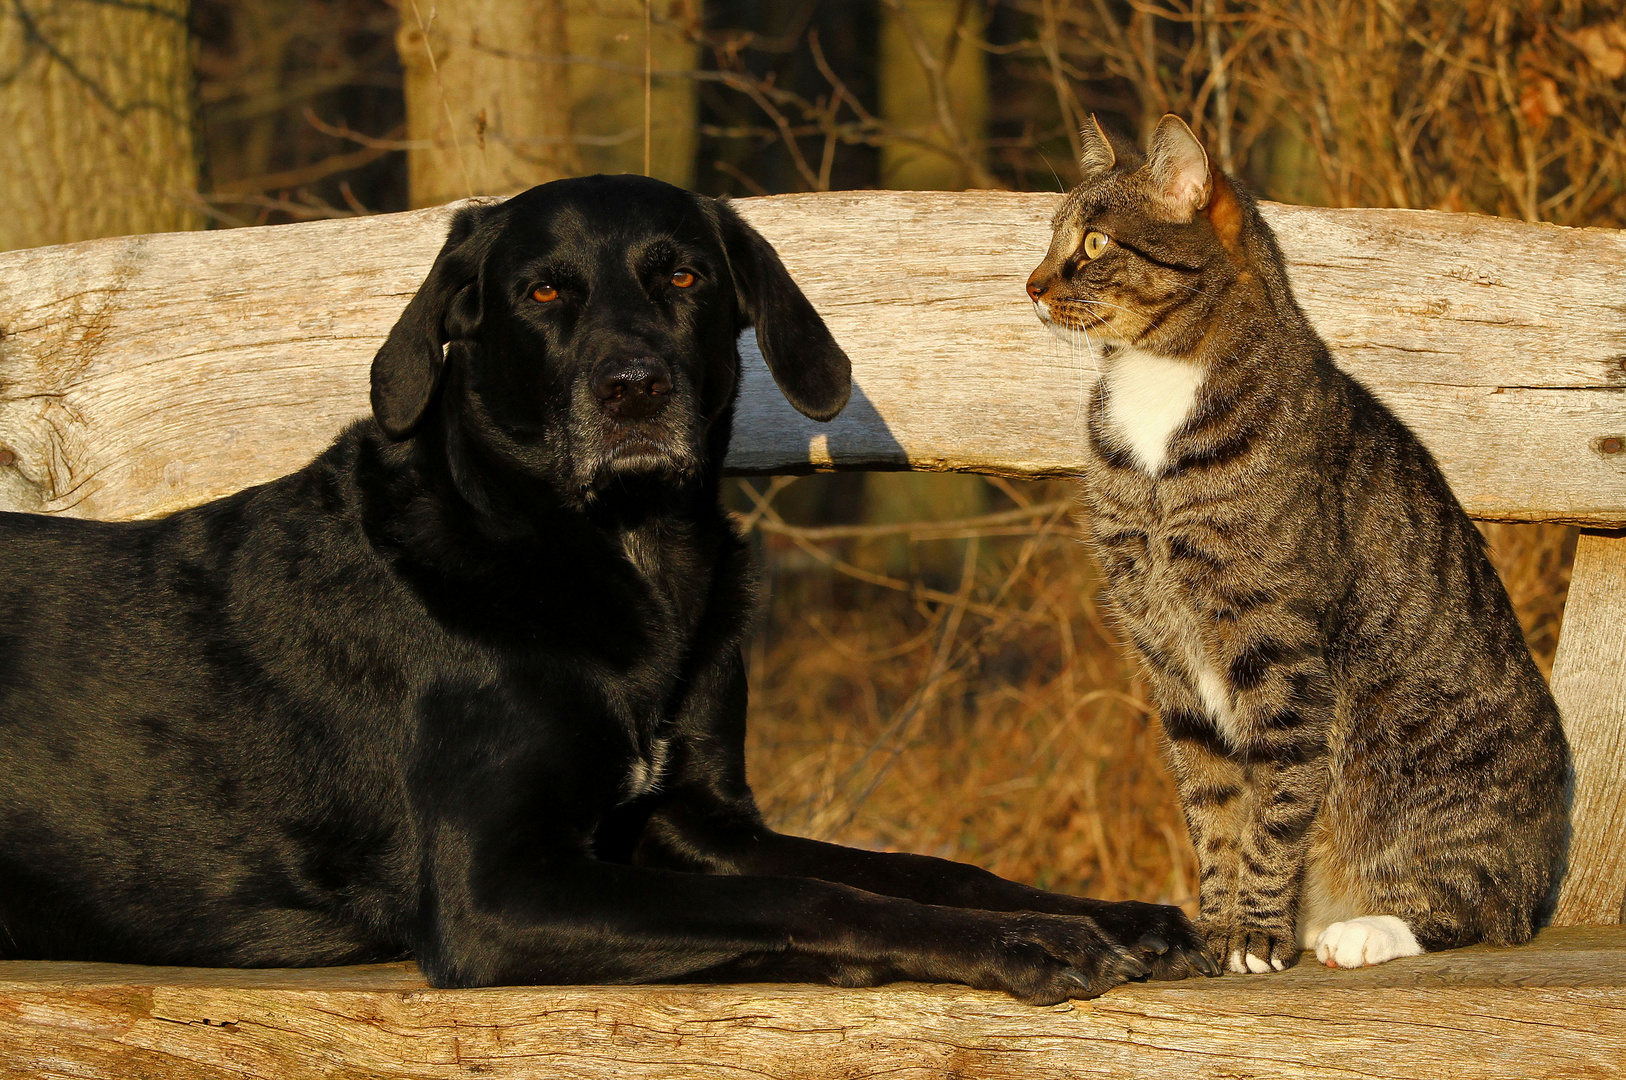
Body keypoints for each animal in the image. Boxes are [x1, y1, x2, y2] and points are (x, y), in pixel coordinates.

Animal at [0, 177, 1209, 1001]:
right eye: (543, 291)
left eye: (682, 275)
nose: (634, 389)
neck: (623, 554)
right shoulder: (496, 889)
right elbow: (805, 896)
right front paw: (1026, 946)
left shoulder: (696, 815)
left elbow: (921, 865)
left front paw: (1111, 915)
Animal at [1021, 116, 1567, 969]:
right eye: (1053, 235)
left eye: (1097, 240)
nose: (1032, 283)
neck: (1155, 394)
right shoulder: (1166, 655)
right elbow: (1213, 804)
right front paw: (1217, 927)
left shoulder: (1274, 640)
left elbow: (1276, 801)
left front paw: (1254, 932)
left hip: (1442, 784)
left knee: (1477, 904)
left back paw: (1363, 930)